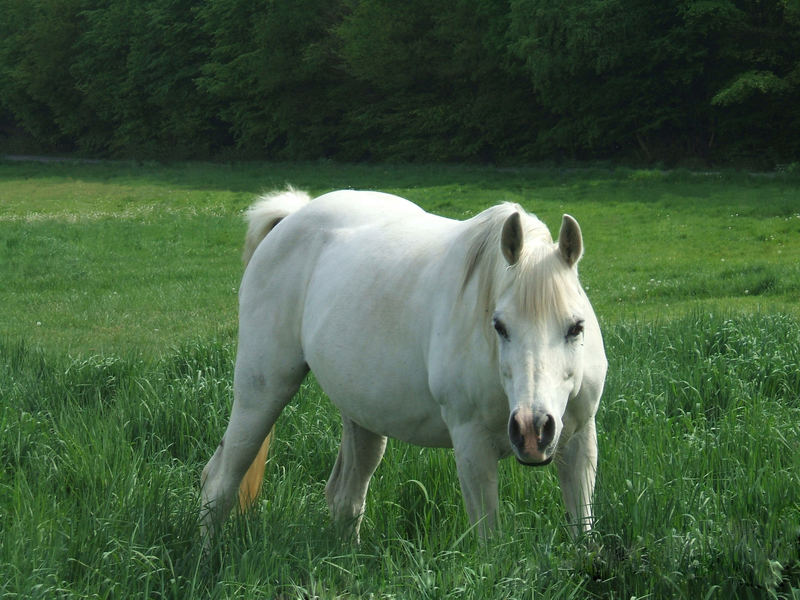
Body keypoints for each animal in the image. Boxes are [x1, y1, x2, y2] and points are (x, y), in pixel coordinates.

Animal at [200, 188, 608, 544]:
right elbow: (490, 542)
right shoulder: (472, 445)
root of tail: (291, 219)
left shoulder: (579, 437)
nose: (531, 430)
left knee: (345, 497)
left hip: (361, 416)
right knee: (218, 483)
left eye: (576, 327)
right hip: (261, 394)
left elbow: (582, 530)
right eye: (500, 326)